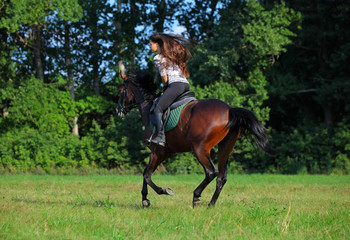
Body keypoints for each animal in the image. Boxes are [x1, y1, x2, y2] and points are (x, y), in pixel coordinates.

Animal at [116, 71, 274, 208]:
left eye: (121, 91)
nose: (118, 111)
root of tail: (230, 110)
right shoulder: (164, 153)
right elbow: (145, 173)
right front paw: (145, 199)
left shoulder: (157, 151)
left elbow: (147, 175)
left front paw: (163, 191)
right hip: (225, 148)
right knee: (221, 177)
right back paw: (211, 204)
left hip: (199, 148)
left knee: (211, 172)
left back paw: (196, 196)